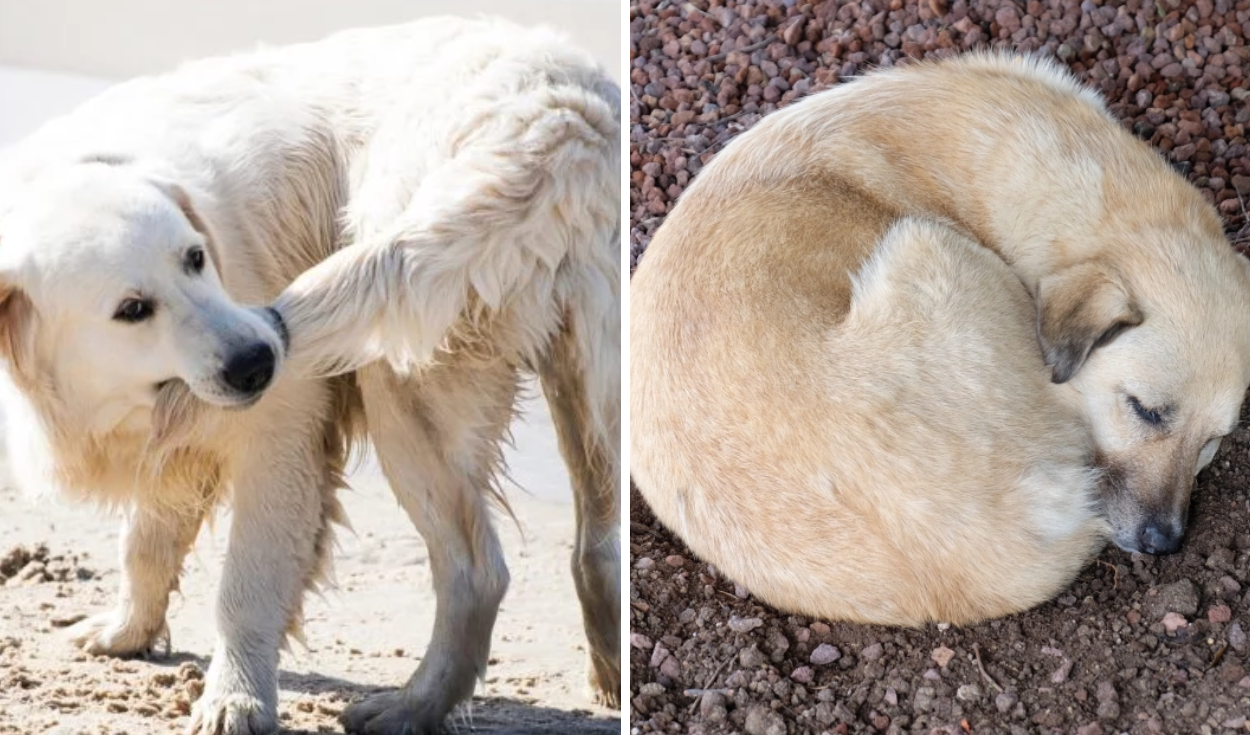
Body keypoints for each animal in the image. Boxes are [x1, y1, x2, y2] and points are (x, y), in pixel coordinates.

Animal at [0, 17, 620, 735]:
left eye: (195, 258)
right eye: (132, 309)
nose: (258, 360)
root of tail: (561, 120)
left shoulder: (279, 430)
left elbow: (245, 584)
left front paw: (235, 700)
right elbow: (145, 541)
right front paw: (125, 632)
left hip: (402, 368)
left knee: (477, 571)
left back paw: (410, 706)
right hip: (588, 373)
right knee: (598, 544)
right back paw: (608, 674)